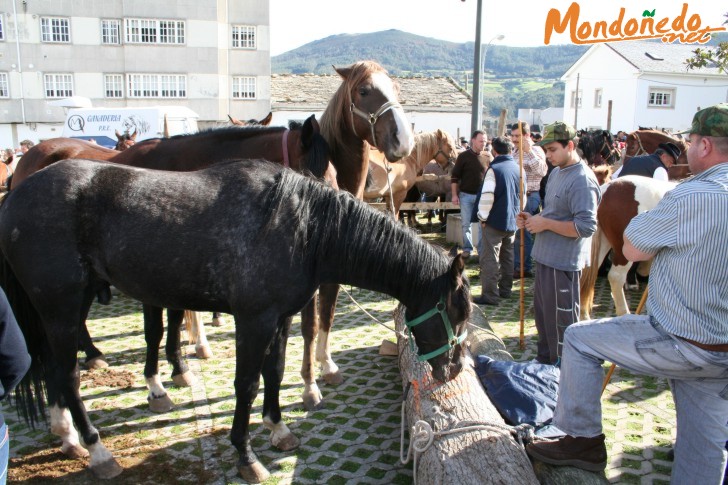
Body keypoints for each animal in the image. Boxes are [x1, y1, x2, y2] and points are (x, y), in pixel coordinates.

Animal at [300, 59, 416, 408]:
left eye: (397, 88)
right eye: (364, 90)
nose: (404, 140)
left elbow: (328, 312)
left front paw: (327, 366)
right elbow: (310, 325)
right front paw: (309, 386)